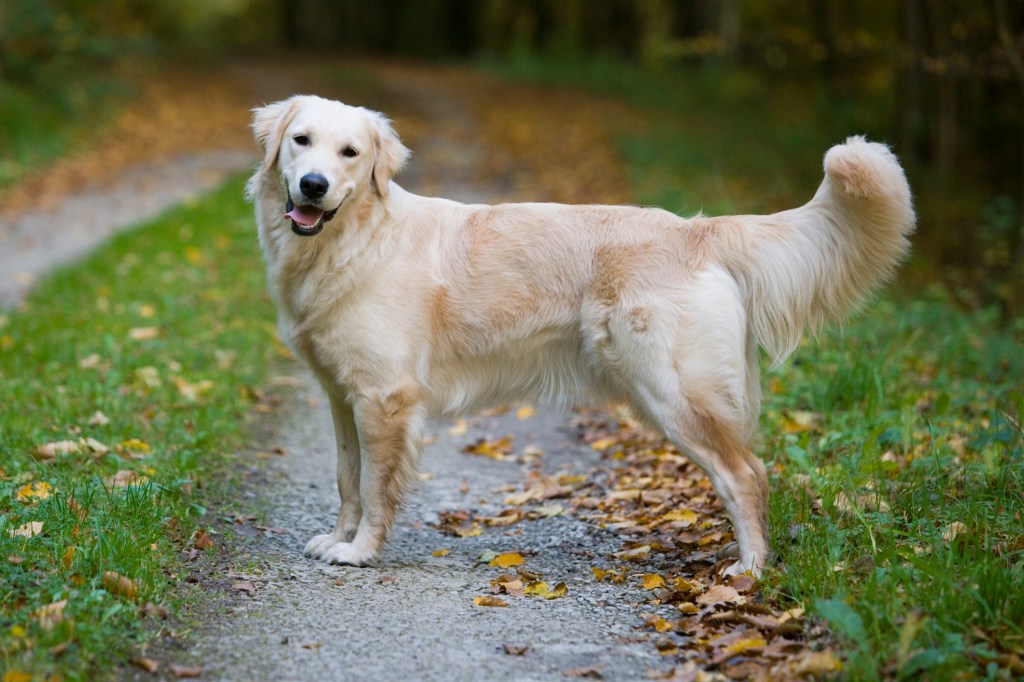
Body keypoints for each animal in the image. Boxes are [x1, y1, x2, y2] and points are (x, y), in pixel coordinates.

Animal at [245, 95, 913, 573]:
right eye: (301, 142)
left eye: (351, 153)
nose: (312, 186)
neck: (354, 239)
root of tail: (698, 229)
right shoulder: (343, 398)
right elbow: (347, 480)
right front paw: (337, 538)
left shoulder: (386, 399)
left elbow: (376, 488)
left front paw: (360, 552)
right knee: (750, 472)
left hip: (674, 393)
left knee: (745, 474)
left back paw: (749, 571)